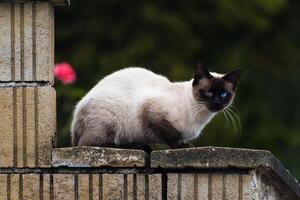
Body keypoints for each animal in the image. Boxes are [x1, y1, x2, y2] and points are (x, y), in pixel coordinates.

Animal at [71, 63, 241, 149]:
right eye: (208, 92)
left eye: (223, 94)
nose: (216, 103)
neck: (201, 116)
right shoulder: (151, 110)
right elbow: (172, 135)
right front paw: (182, 146)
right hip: (110, 121)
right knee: (89, 144)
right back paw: (135, 146)